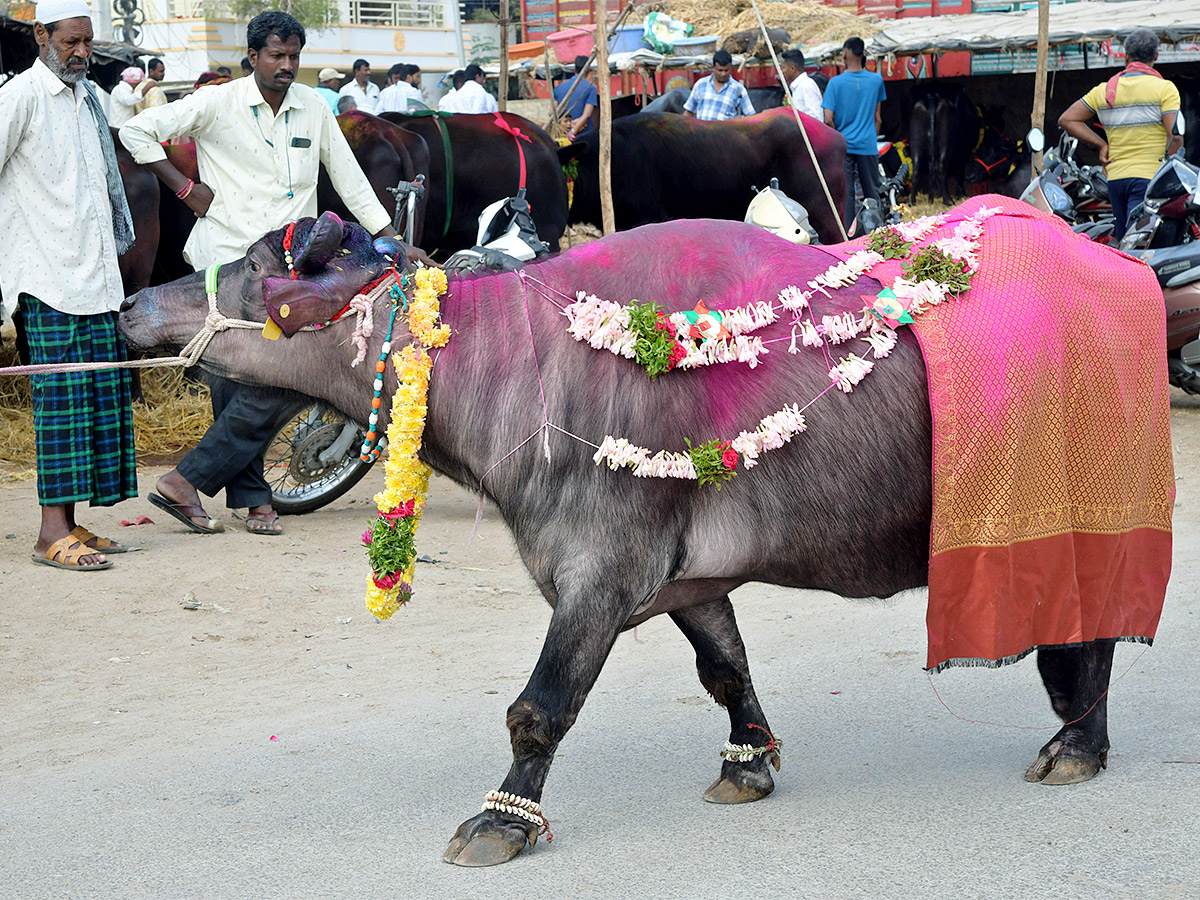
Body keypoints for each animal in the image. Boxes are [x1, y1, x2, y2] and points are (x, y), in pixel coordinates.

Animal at [119, 196, 1171, 868]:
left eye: (262, 265)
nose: (131, 304)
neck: (522, 363)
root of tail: (1114, 265)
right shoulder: (685, 582)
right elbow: (726, 671)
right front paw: (748, 764)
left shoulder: (598, 572)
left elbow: (539, 707)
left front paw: (502, 822)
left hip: (1087, 505)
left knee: (1095, 632)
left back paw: (1078, 744)